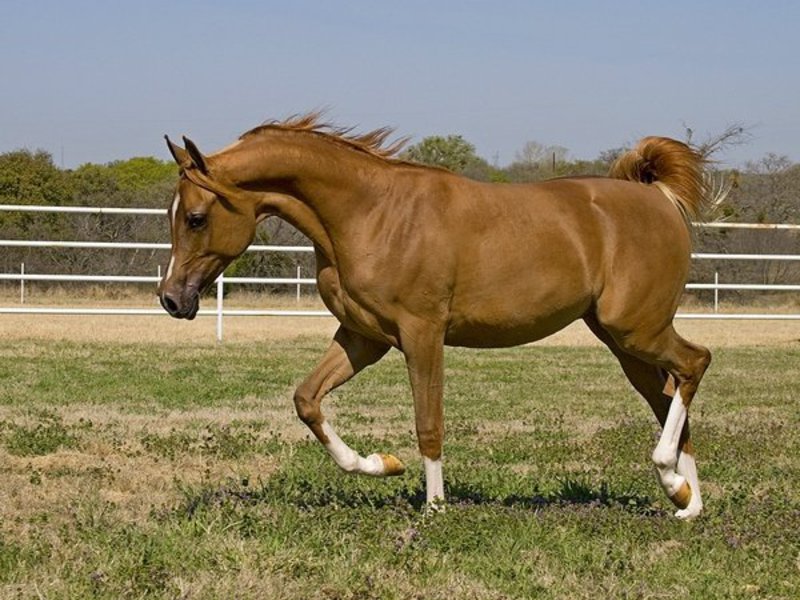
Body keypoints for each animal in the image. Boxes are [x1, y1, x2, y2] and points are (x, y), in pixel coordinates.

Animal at [158, 113, 713, 518]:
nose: (171, 300)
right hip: (623, 342)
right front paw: (382, 464)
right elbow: (307, 400)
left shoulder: (421, 333)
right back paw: (685, 501)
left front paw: (435, 509)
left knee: (695, 363)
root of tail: (658, 199)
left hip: (636, 330)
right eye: (174, 214)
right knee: (669, 399)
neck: (369, 213)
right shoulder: (363, 337)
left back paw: (671, 478)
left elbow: (429, 423)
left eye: (196, 218)